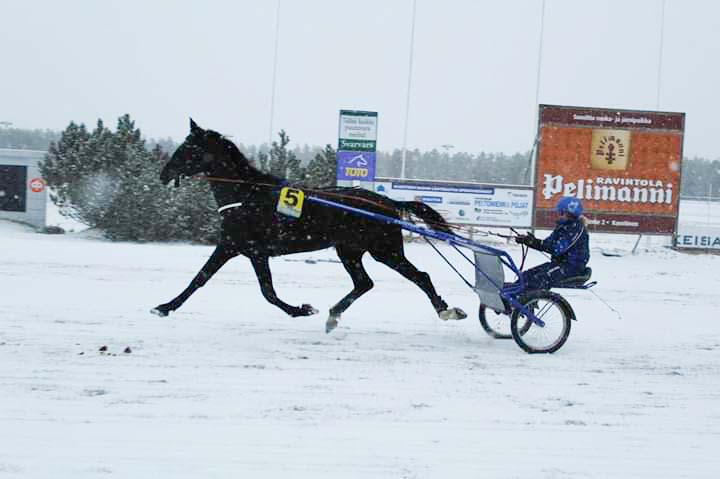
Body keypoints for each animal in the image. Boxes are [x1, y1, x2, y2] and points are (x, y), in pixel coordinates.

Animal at [153, 118, 466, 332]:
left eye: (187, 148)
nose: (163, 174)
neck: (247, 194)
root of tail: (388, 202)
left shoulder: (241, 247)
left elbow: (240, 286)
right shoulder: (246, 250)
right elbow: (220, 281)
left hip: (384, 250)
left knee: (420, 276)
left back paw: (445, 310)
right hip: (349, 250)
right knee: (364, 283)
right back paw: (334, 314)